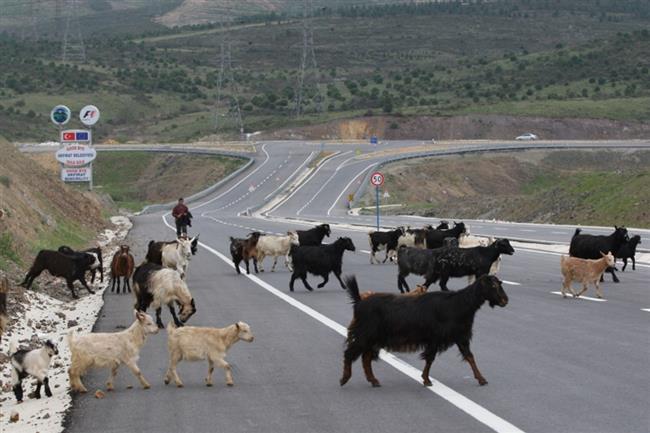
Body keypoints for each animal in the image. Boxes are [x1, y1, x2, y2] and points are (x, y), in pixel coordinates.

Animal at [340, 276, 506, 386]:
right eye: (493, 286)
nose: (505, 300)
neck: (458, 304)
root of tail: (359, 301)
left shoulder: (459, 336)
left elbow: (469, 356)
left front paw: (482, 379)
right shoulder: (436, 338)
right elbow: (430, 358)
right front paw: (426, 380)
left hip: (372, 338)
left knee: (366, 357)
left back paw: (373, 381)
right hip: (365, 334)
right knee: (350, 353)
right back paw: (344, 379)